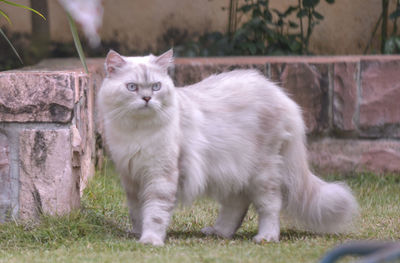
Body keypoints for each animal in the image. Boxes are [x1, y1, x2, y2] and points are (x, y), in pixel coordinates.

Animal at [97, 49, 360, 248]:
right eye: (132, 87)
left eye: (156, 86)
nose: (146, 99)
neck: (136, 132)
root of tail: (283, 97)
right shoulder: (131, 178)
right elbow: (137, 212)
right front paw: (137, 233)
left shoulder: (160, 175)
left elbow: (154, 212)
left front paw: (150, 240)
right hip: (233, 173)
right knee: (237, 206)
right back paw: (219, 232)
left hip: (263, 174)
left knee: (270, 207)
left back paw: (265, 237)